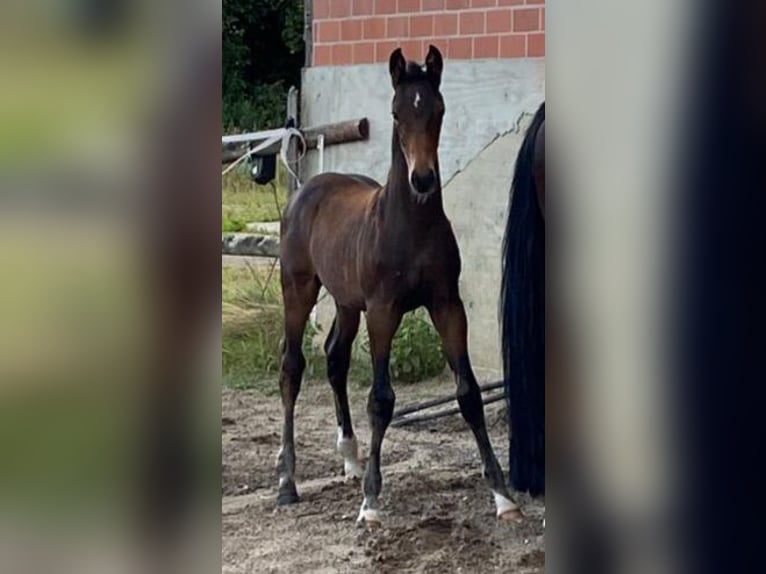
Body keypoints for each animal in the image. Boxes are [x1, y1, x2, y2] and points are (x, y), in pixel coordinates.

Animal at [276, 47, 520, 528]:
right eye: (395, 112)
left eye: (438, 109)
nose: (422, 179)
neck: (410, 226)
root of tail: (306, 189)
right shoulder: (384, 310)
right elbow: (381, 399)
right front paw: (371, 502)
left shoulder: (447, 305)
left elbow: (469, 393)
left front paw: (503, 496)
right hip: (299, 290)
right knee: (292, 367)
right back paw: (287, 482)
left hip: (347, 302)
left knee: (335, 357)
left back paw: (350, 459)